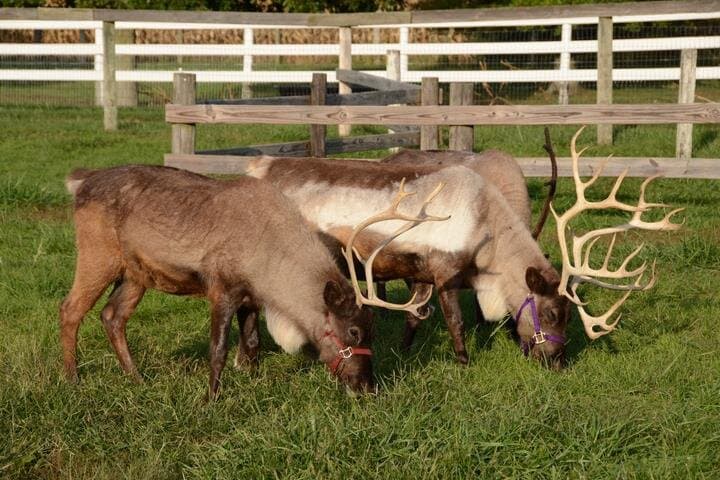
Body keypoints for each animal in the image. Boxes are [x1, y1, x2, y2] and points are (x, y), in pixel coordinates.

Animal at [60, 165, 443, 398]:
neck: (268, 268)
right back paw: (72, 379)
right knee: (70, 309)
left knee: (112, 316)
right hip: (97, 254)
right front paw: (211, 398)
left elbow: (254, 345)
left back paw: (136, 377)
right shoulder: (222, 288)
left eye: (375, 331)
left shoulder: (250, 298)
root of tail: (79, 181)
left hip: (136, 273)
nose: (367, 386)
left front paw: (253, 382)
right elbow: (217, 350)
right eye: (353, 331)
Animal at [245, 126, 681, 367]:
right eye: (553, 313)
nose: (558, 364)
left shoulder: (420, 273)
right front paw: (463, 360)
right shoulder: (445, 270)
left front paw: (404, 350)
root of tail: (259, 166)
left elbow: (415, 317)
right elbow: (453, 321)